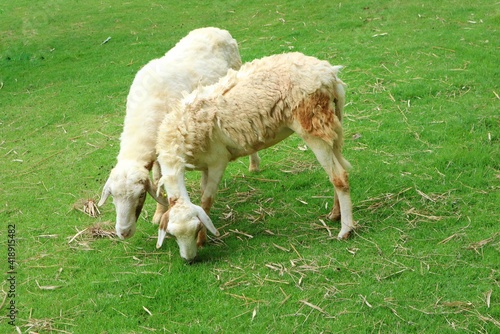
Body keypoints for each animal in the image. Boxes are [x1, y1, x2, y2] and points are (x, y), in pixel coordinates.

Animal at [98, 26, 262, 240]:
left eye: (140, 195)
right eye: (112, 196)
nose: (124, 233)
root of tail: (217, 30)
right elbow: (158, 180)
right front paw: (158, 214)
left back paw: (254, 165)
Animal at [156, 52, 356, 262]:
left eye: (195, 228)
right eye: (172, 234)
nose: (190, 260)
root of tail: (329, 74)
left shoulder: (218, 160)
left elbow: (206, 200)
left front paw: (202, 240)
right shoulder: (204, 165)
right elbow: (203, 198)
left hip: (312, 125)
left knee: (339, 177)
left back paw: (345, 230)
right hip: (332, 123)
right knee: (338, 170)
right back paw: (335, 214)